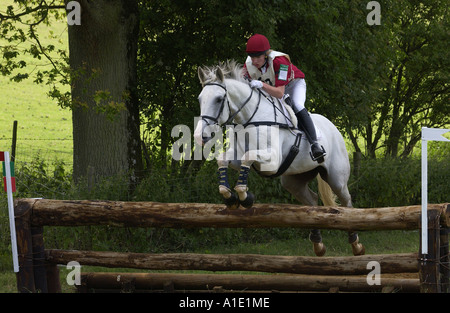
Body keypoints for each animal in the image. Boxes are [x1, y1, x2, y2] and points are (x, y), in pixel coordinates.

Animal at [193, 61, 366, 256]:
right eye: (200, 99)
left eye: (219, 99)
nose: (200, 136)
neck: (249, 118)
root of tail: (332, 127)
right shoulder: (237, 158)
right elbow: (223, 160)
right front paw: (229, 197)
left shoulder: (272, 162)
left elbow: (248, 157)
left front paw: (245, 196)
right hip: (294, 180)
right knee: (312, 200)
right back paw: (318, 244)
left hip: (336, 179)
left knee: (346, 203)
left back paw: (356, 244)